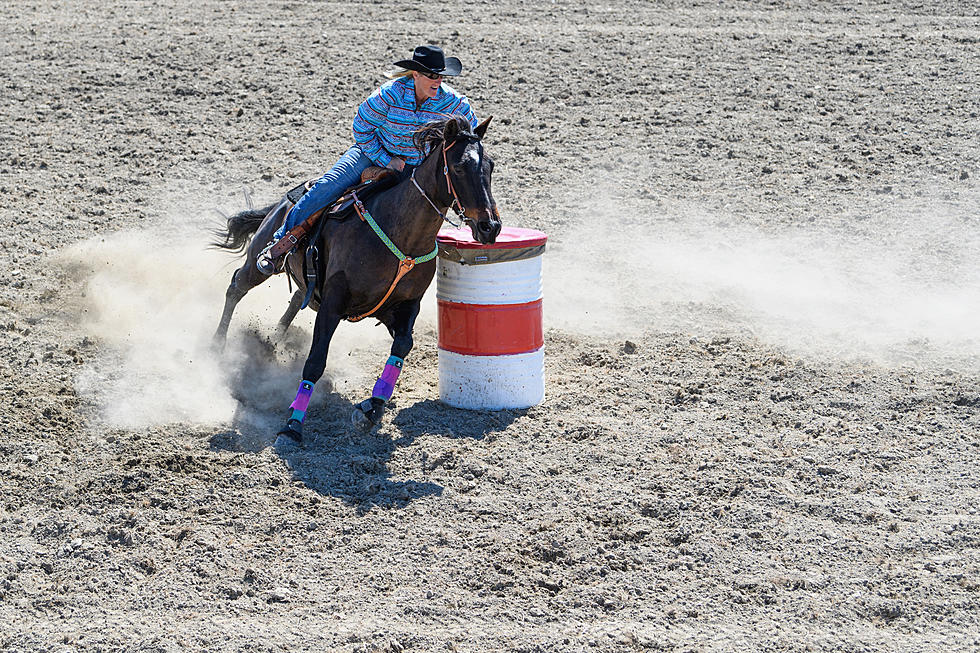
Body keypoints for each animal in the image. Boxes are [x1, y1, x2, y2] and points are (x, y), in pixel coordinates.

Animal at [215, 116, 506, 444]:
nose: (490, 227)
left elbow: (402, 346)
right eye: (458, 167)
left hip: (310, 286)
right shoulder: (333, 303)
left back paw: (272, 342)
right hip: (261, 261)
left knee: (294, 300)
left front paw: (371, 408)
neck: (401, 236)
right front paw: (292, 426)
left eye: (490, 166)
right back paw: (216, 347)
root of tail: (284, 200)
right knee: (237, 286)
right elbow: (315, 361)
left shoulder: (404, 307)